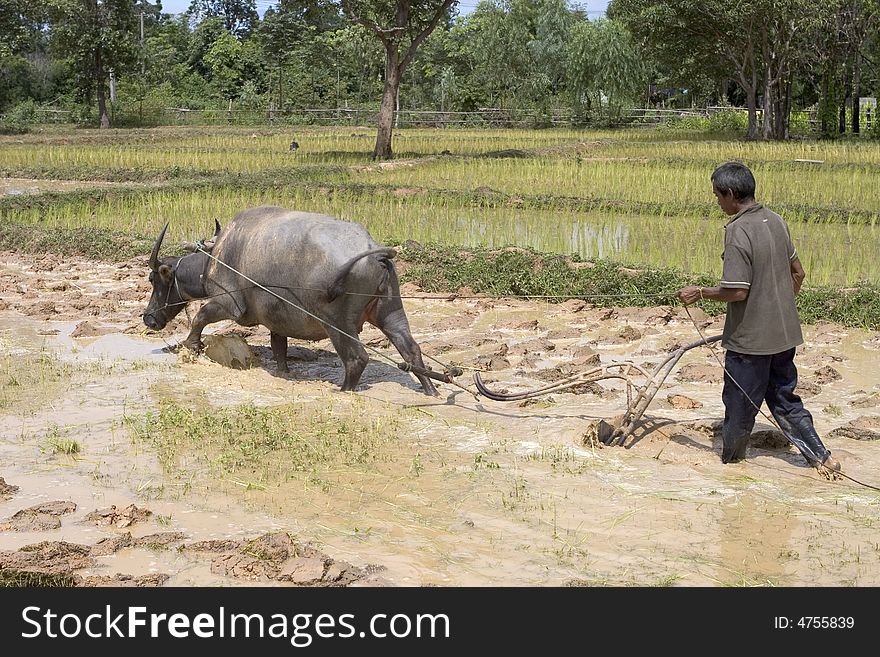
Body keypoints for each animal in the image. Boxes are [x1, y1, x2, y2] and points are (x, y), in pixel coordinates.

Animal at [144, 206, 440, 394]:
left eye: (153, 280)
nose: (148, 318)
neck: (213, 260)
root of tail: (374, 252)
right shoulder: (277, 319)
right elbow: (279, 347)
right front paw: (284, 370)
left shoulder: (229, 303)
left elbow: (200, 316)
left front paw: (192, 346)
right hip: (390, 311)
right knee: (411, 350)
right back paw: (431, 390)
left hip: (338, 323)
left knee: (357, 359)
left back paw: (343, 390)